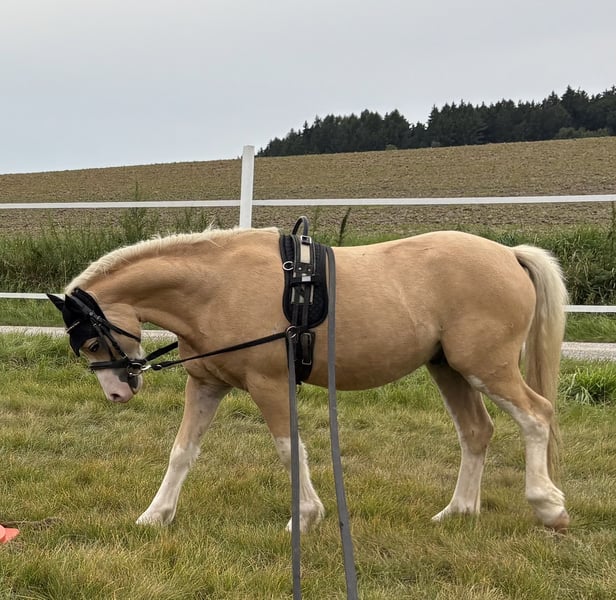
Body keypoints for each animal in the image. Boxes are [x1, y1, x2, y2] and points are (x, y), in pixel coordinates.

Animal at [48, 226, 570, 532]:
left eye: (91, 343)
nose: (119, 391)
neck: (216, 287)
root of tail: (509, 254)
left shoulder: (270, 385)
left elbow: (288, 448)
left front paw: (305, 517)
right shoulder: (207, 384)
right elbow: (182, 453)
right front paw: (155, 515)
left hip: (486, 368)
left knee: (537, 416)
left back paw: (547, 505)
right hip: (450, 369)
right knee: (476, 432)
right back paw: (458, 511)